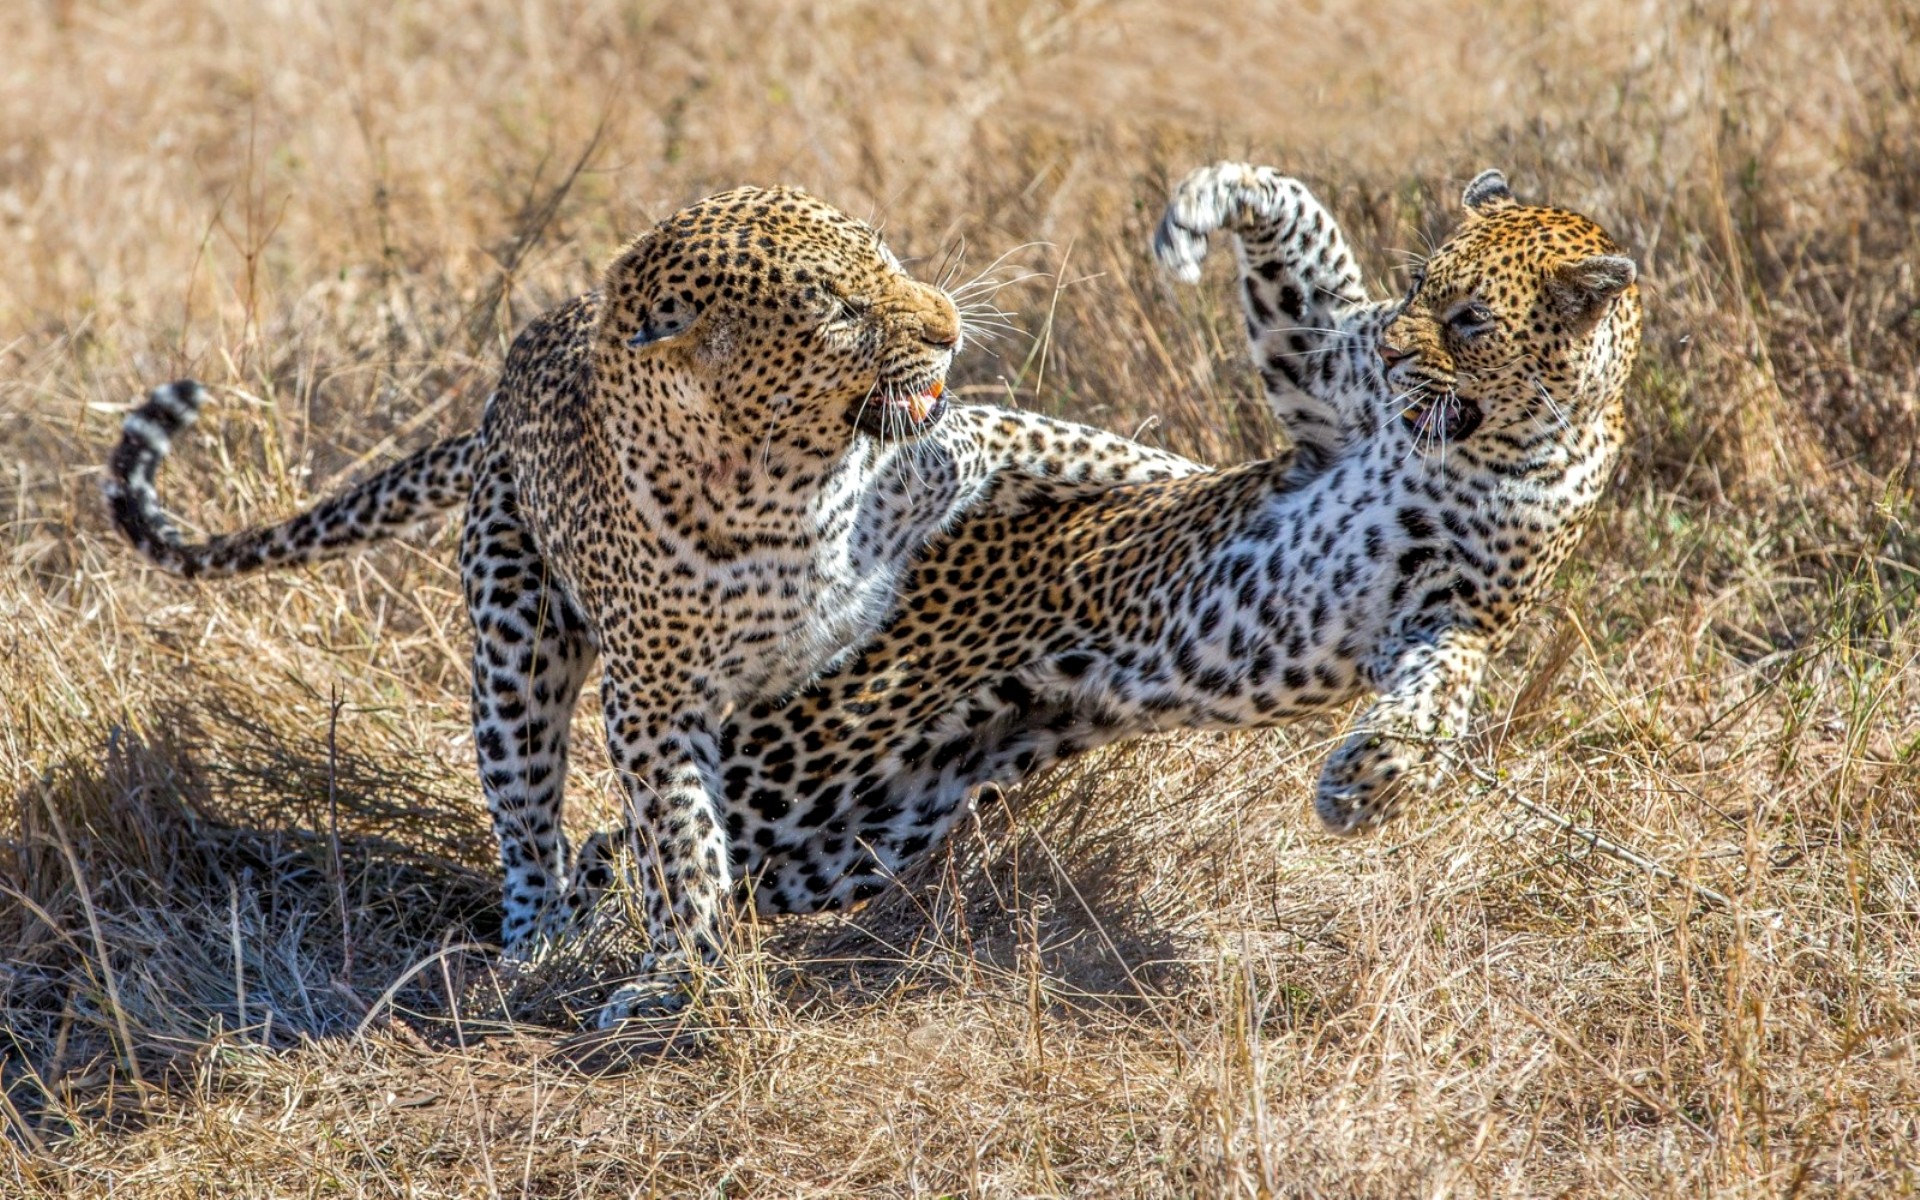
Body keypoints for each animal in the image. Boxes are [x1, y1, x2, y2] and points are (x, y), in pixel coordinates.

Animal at [105, 180, 1198, 1021]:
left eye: (887, 258)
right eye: (839, 309)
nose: (950, 327)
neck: (783, 483)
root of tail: (496, 400)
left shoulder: (962, 446)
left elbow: (1102, 453)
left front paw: (1207, 487)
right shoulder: (651, 706)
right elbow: (680, 839)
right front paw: (686, 965)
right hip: (514, 642)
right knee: (531, 820)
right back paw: (536, 946)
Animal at [560, 161, 1643, 925]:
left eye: (1471, 319)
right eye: (1419, 286)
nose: (1394, 349)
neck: (1498, 438)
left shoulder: (1448, 614)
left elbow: (1436, 703)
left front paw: (1363, 787)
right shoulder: (1329, 399)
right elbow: (1306, 247)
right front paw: (1206, 206)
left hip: (874, 817)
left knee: (667, 860)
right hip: (805, 751)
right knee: (621, 843)